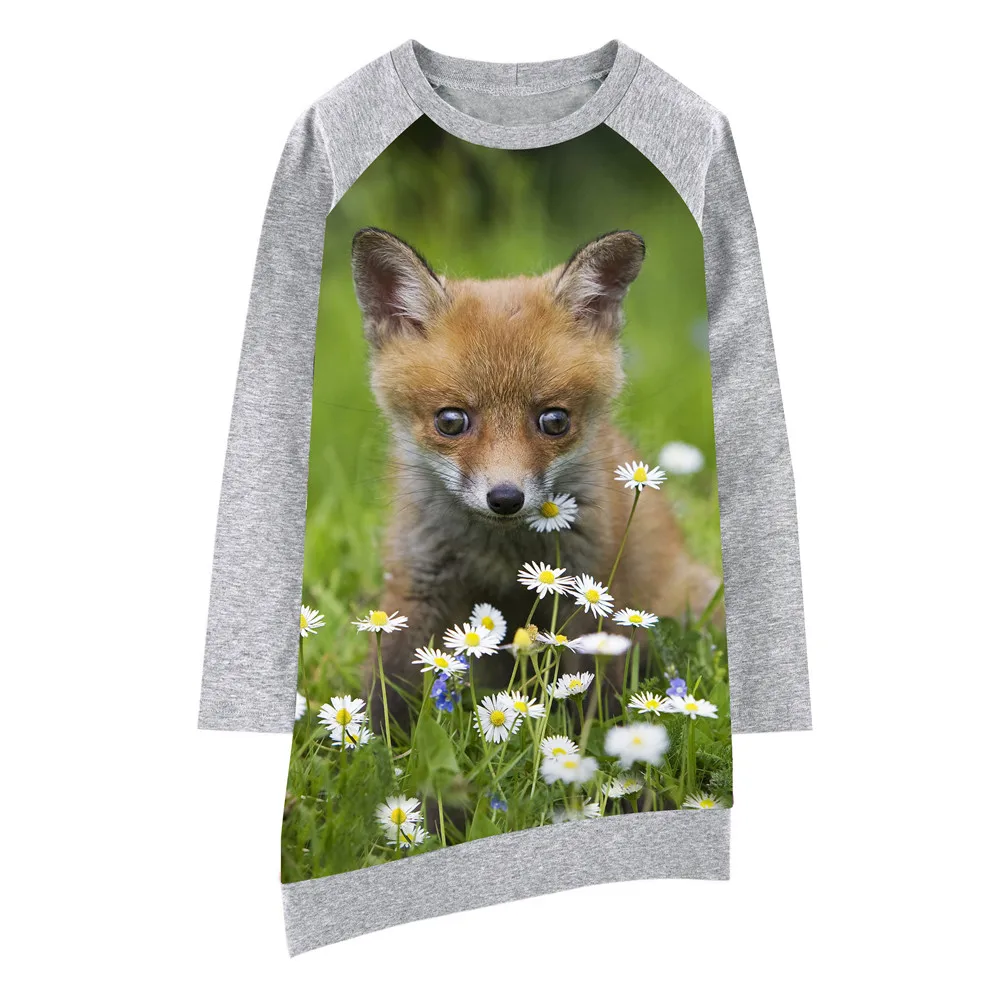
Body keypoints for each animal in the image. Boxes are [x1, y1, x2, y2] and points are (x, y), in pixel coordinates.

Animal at [350, 227, 720, 726]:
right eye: (451, 421)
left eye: (554, 421)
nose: (505, 498)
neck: (500, 552)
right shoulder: (417, 581)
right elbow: (388, 686)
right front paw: (368, 742)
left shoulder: (588, 589)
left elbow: (588, 688)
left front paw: (589, 742)